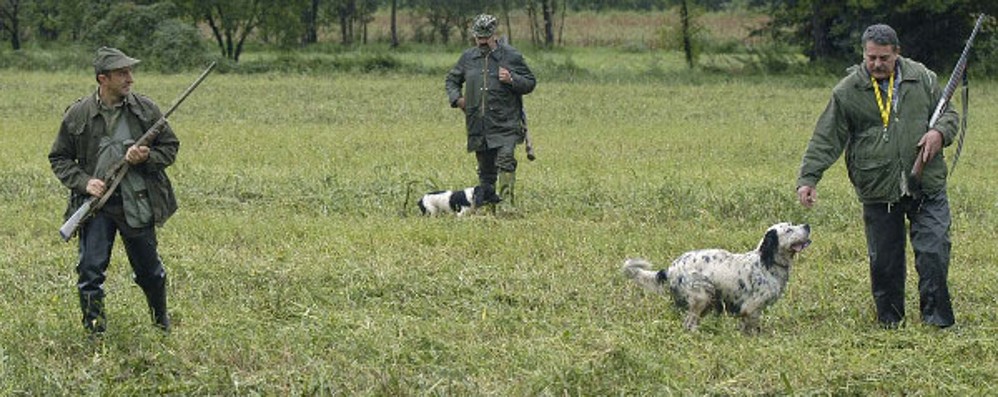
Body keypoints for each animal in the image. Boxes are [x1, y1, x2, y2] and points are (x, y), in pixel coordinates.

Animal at [624, 221, 812, 332]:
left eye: (792, 224)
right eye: (789, 229)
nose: (807, 225)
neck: (767, 262)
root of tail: (670, 268)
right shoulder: (751, 307)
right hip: (702, 296)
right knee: (689, 324)